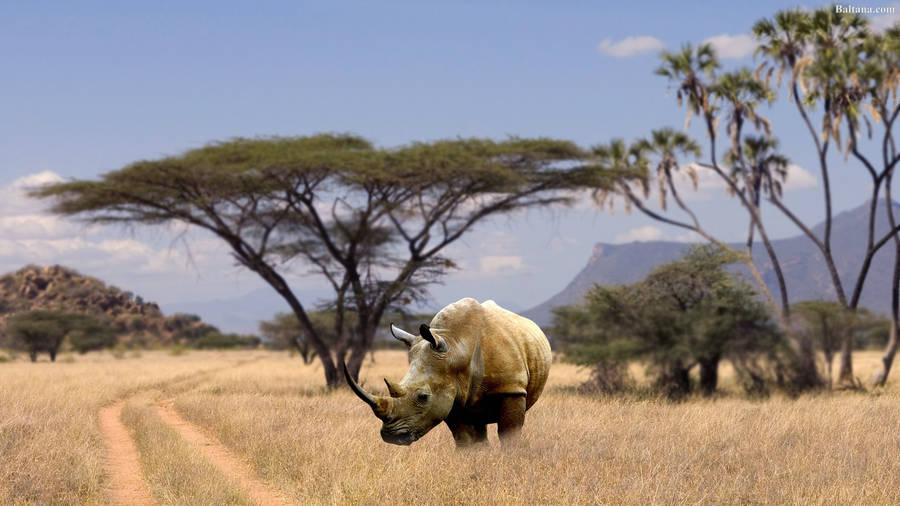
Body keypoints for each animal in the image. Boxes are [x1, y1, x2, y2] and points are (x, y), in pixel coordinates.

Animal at [345, 298, 552, 447]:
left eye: (423, 397)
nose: (391, 437)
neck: (455, 347)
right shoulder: (449, 394)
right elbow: (465, 440)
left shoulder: (511, 388)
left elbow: (509, 436)